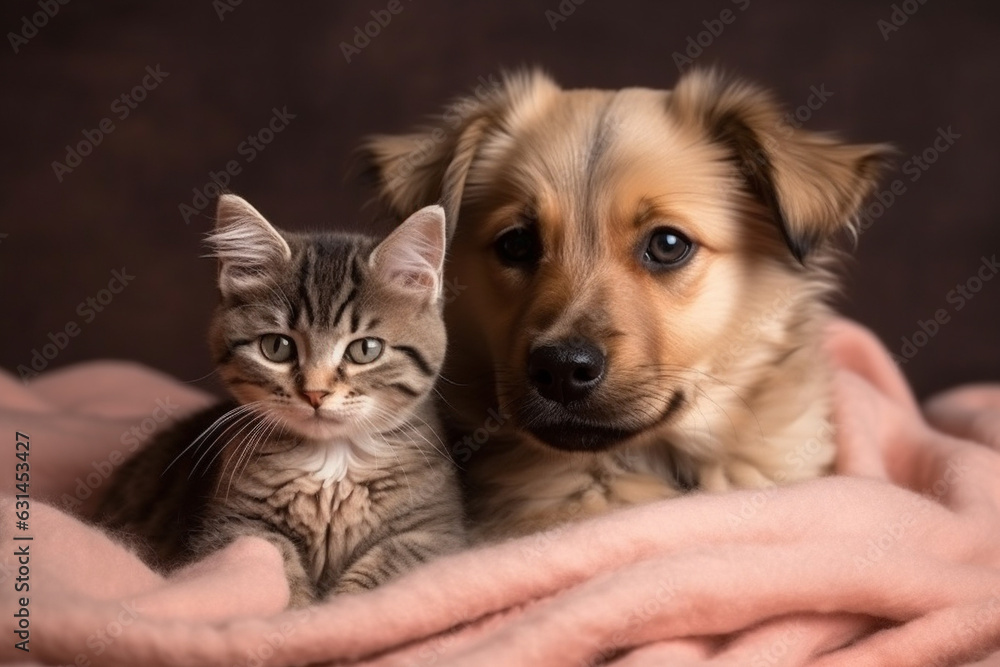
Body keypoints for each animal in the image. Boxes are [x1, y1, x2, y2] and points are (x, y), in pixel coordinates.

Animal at [97, 193, 464, 604]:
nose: (315, 393)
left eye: (365, 349)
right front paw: (300, 608)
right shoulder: (232, 525)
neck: (332, 466)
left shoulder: (436, 532)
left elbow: (386, 568)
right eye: (277, 347)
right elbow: (273, 562)